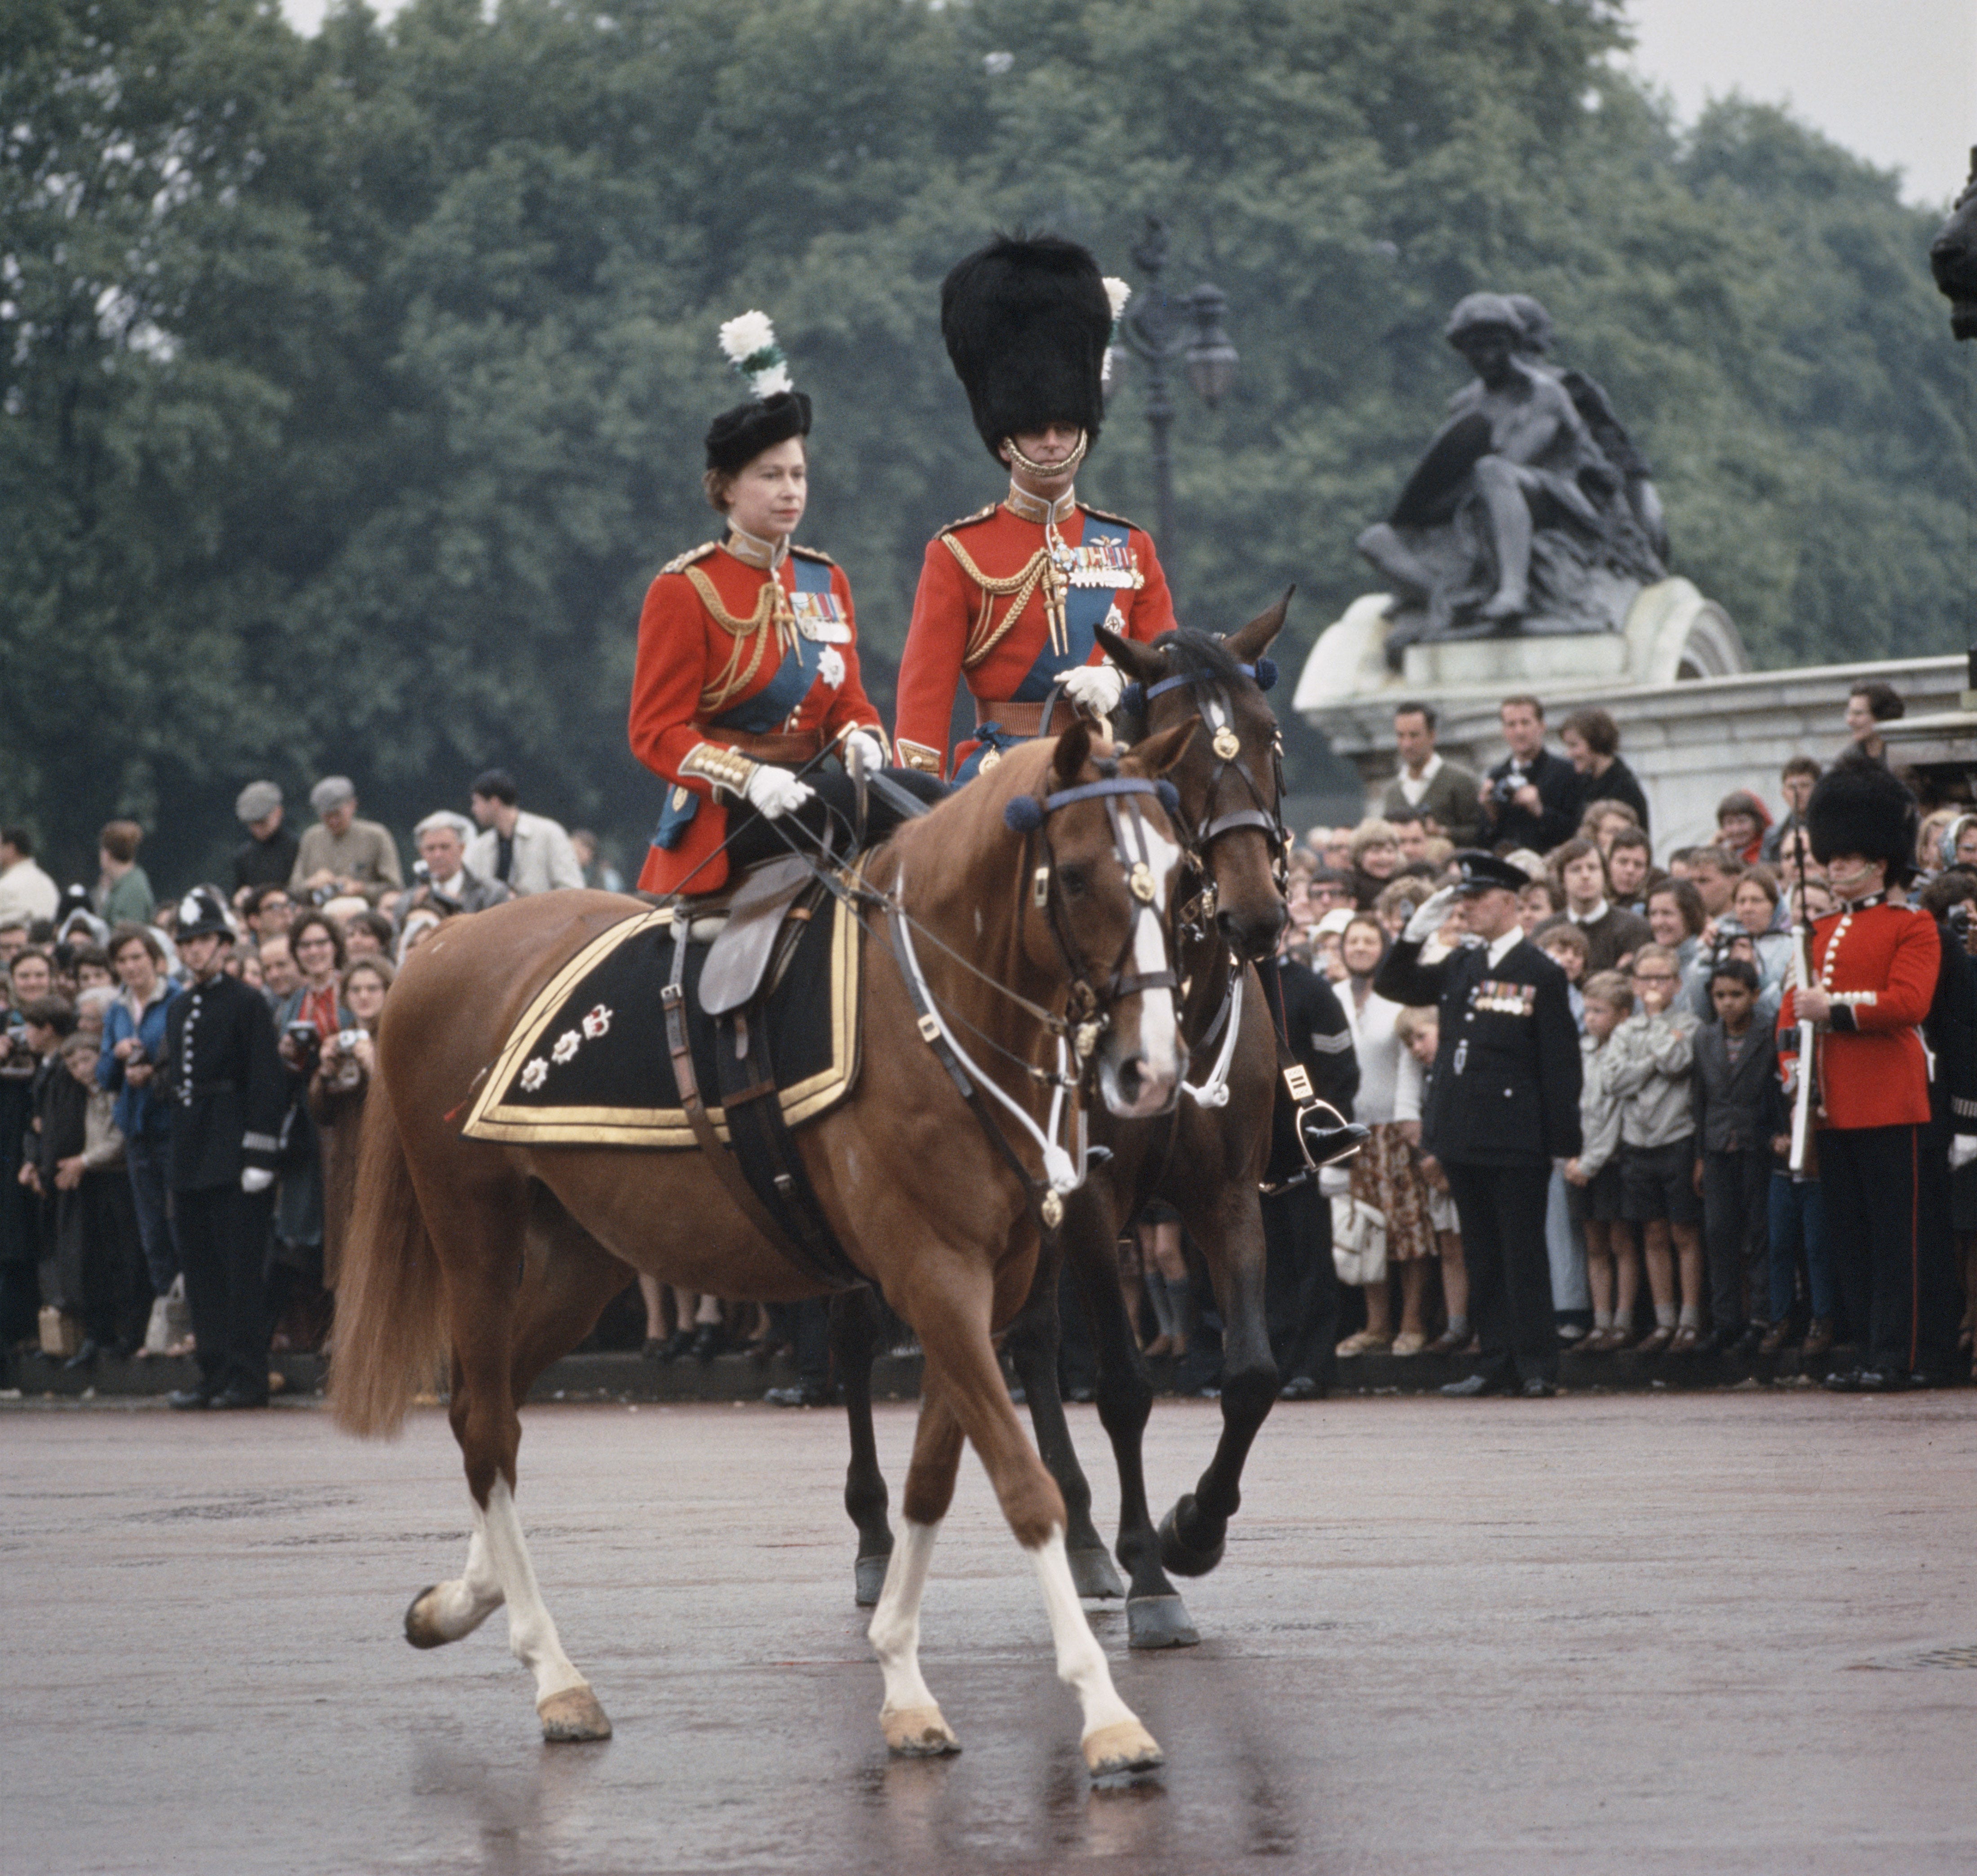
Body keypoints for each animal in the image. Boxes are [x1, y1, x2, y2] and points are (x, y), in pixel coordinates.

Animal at [328, 723, 1186, 1779]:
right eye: (1072, 874)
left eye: (1180, 872)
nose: (1151, 1069)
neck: (935, 1013)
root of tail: (436, 947)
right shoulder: (936, 1278)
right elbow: (1026, 1491)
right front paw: (1105, 1713)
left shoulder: (984, 1288)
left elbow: (932, 1483)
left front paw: (903, 1682)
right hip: (475, 1235)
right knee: (486, 1424)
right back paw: (555, 1675)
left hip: (581, 1257)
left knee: (485, 1415)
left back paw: (463, 1600)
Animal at [834, 597, 1297, 1637]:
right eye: (1181, 763)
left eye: (1268, 736)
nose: (1254, 915)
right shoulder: (1090, 1199)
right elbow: (1122, 1386)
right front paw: (1155, 1574)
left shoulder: (1227, 1194)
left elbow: (1251, 1374)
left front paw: (1192, 1529)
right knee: (852, 1343)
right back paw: (877, 1539)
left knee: (1032, 1340)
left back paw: (1080, 1541)